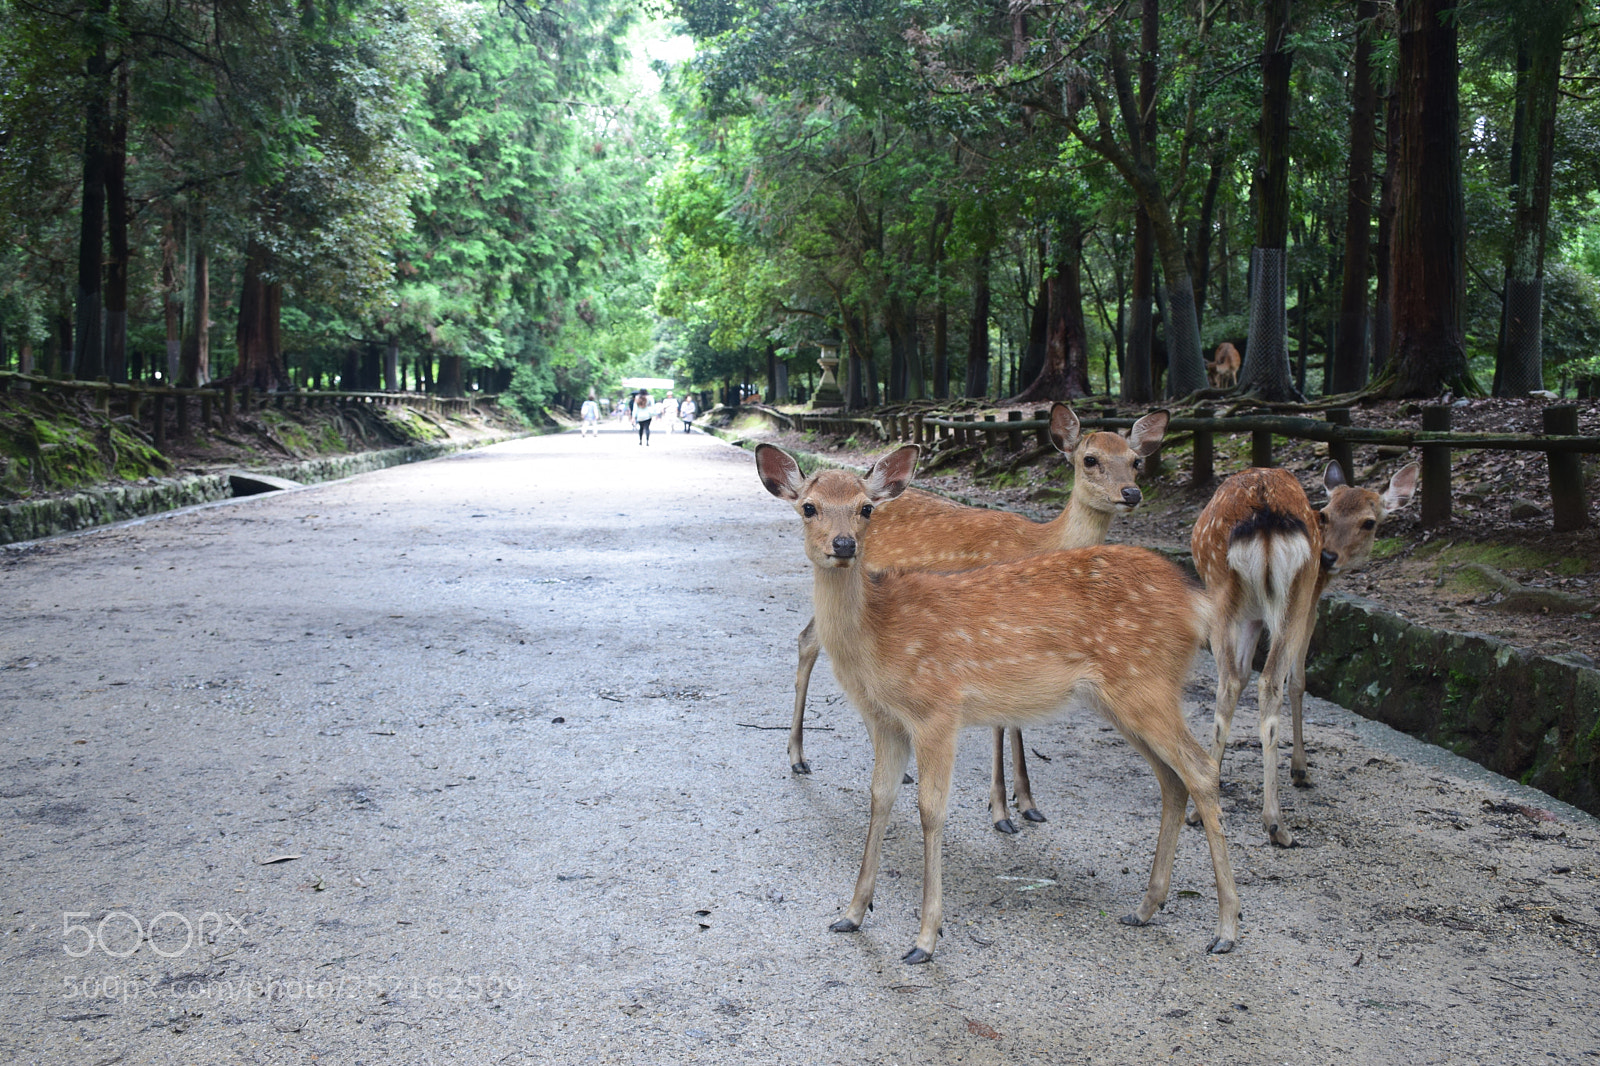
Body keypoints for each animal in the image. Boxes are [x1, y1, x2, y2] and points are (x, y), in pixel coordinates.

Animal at [786, 404, 1170, 836]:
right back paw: (799, 758)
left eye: (1136, 461)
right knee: (811, 641)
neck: (1040, 543)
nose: (1131, 493)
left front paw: (1028, 802)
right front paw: (1002, 809)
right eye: (1090, 459)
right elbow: (1002, 723)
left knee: (809, 638)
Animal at [1189, 459, 1420, 847]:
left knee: (1231, 682)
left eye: (1368, 521)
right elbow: (1298, 680)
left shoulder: (1252, 615)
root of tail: (1264, 513)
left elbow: (1243, 675)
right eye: (1325, 515)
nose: (1328, 557)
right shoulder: (1311, 603)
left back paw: (1203, 803)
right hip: (1292, 596)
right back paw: (1275, 823)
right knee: (1271, 681)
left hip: (1221, 593)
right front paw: (1301, 769)